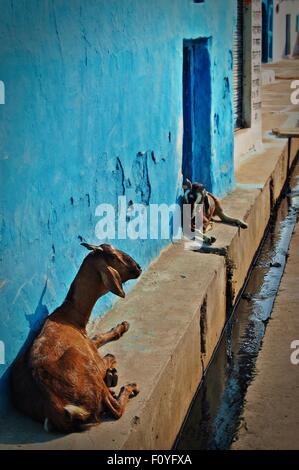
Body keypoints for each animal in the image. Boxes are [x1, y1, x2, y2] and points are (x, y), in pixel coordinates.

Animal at [11, 244, 142, 432]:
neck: (70, 316)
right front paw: (111, 371)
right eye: (114, 256)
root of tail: (56, 407)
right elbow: (108, 355)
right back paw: (128, 386)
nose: (138, 267)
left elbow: (97, 337)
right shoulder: (92, 355)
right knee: (114, 408)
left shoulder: (86, 338)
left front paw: (122, 326)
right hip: (88, 370)